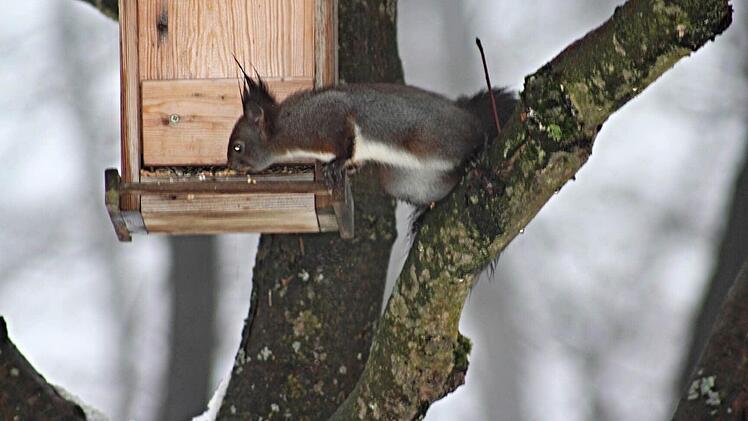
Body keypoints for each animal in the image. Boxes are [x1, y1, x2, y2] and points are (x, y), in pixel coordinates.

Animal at [227, 67, 516, 206]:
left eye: (238, 147)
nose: (229, 165)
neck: (287, 128)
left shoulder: (329, 115)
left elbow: (347, 139)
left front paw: (337, 165)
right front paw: (346, 170)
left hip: (437, 139)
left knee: (474, 137)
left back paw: (475, 153)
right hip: (408, 183)